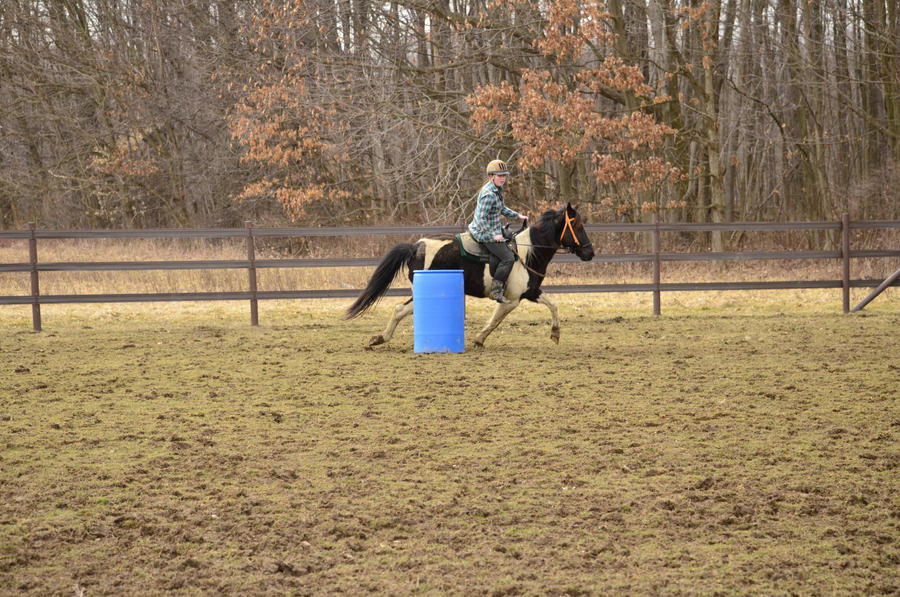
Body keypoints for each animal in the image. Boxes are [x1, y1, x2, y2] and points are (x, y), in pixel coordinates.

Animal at [342, 204, 592, 346]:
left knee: (398, 310)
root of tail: (416, 246)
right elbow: (495, 321)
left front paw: (556, 334)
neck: (527, 253)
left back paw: (379, 339)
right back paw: (381, 339)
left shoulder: (531, 292)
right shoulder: (511, 299)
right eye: (578, 226)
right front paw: (479, 339)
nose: (590, 252)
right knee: (401, 310)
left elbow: (553, 305)